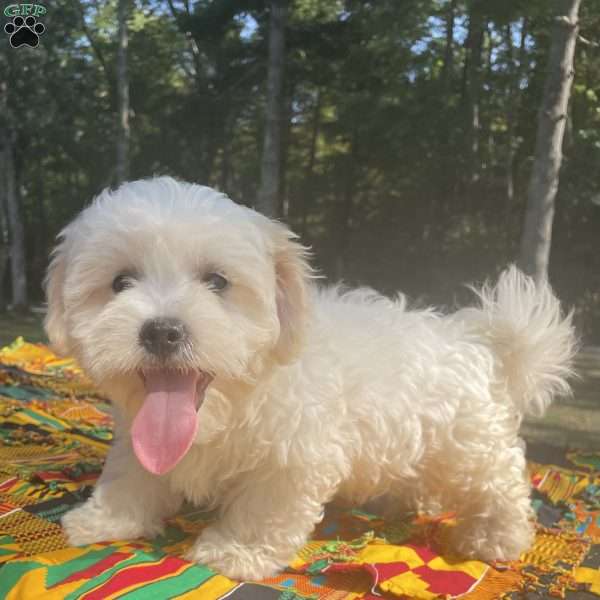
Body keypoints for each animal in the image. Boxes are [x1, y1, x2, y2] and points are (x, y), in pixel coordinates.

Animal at [43, 176, 576, 580]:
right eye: (120, 282)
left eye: (217, 281)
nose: (162, 330)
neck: (229, 406)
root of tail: (479, 340)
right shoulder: (142, 437)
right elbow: (132, 473)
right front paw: (105, 519)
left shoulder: (293, 455)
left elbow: (264, 505)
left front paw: (237, 551)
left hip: (468, 443)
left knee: (500, 479)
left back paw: (495, 534)